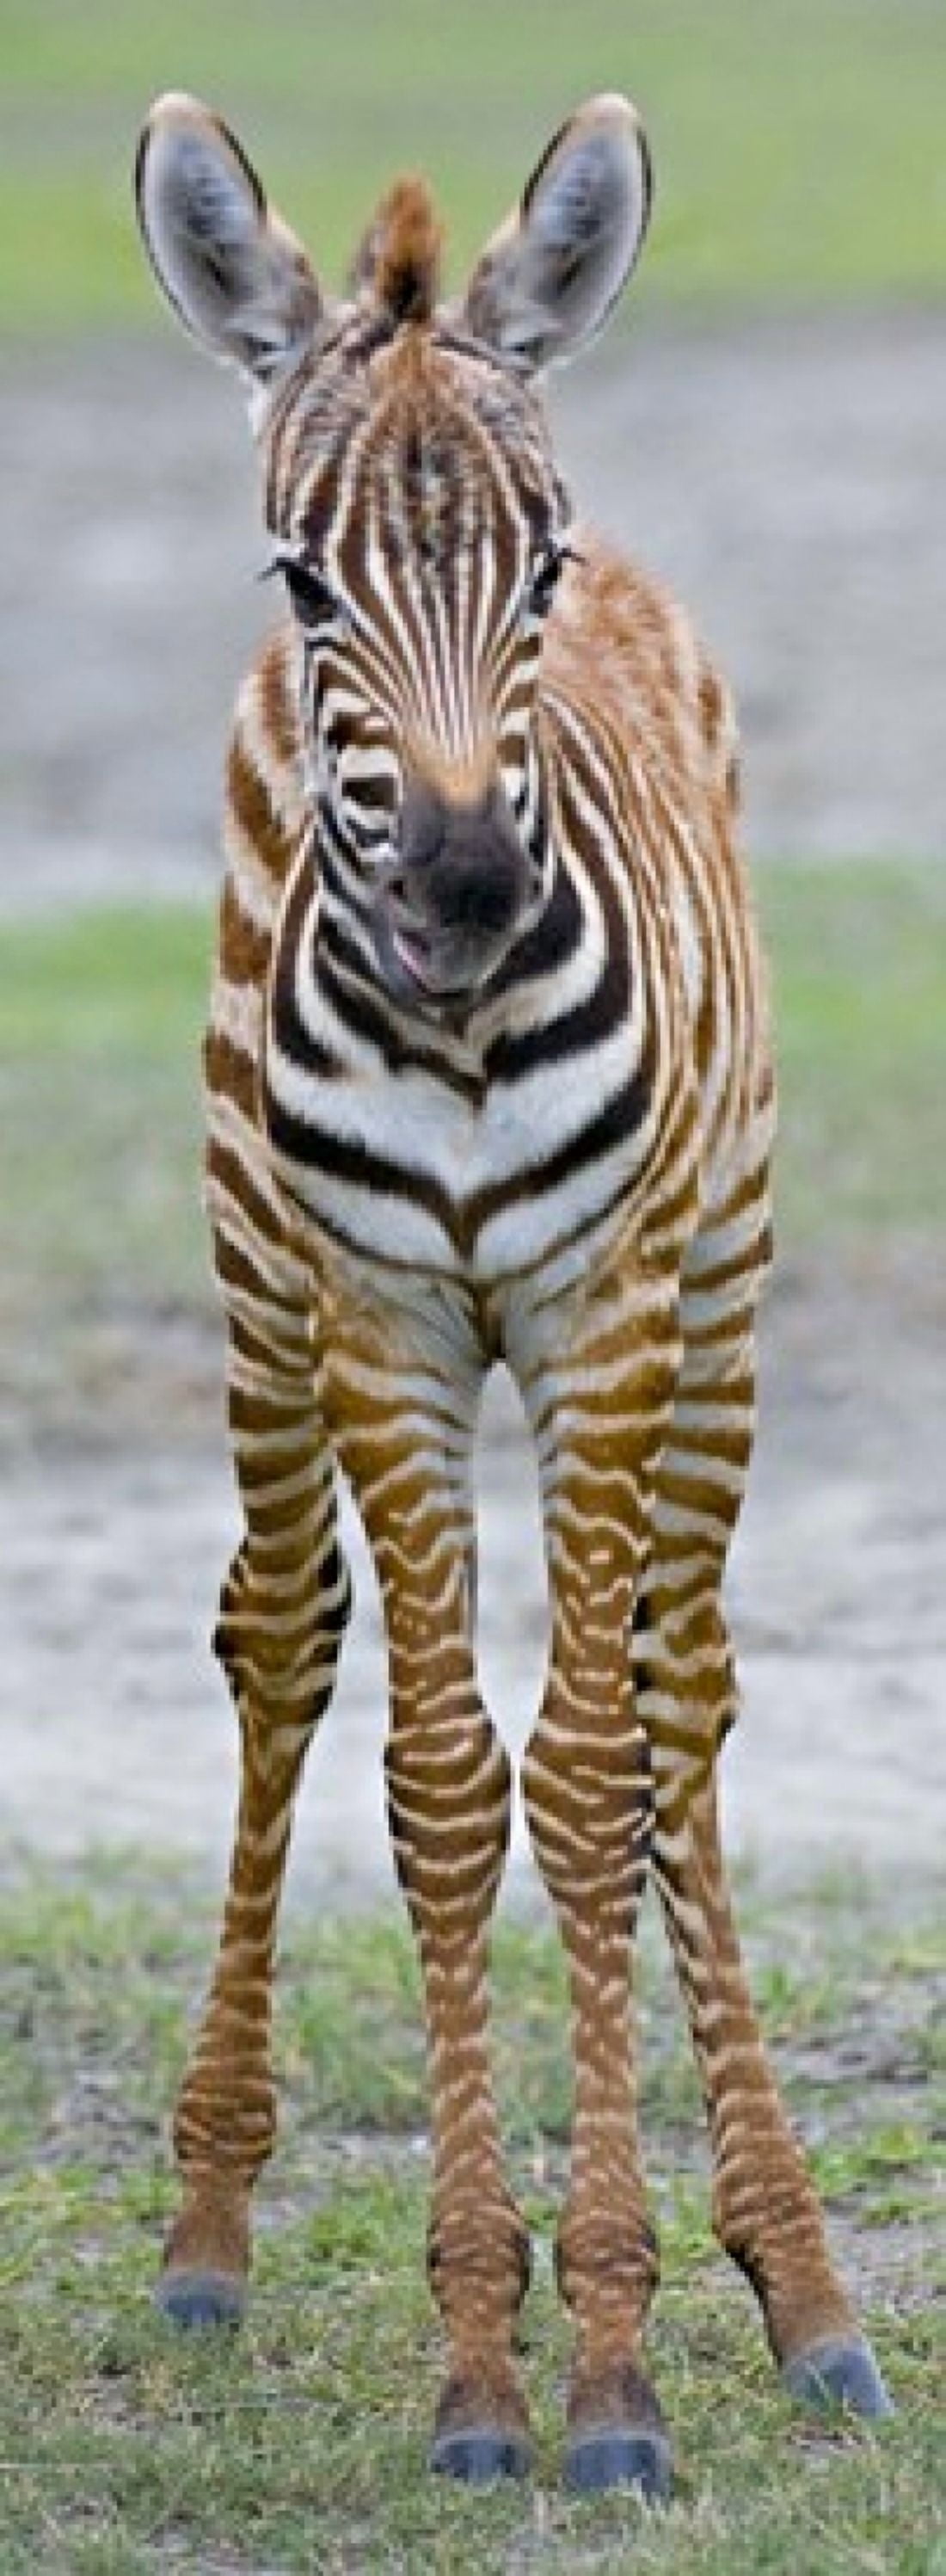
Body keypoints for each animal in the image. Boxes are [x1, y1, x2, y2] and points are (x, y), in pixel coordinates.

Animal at [134, 89, 892, 2493]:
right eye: (303, 583)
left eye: (534, 572)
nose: (467, 884)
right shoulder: (378, 1323)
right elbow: (450, 1786)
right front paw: (490, 2356)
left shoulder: (608, 1316)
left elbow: (589, 1775)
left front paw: (620, 2359)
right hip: (255, 1281)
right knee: (283, 1643)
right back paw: (208, 2228)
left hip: (721, 1291)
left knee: (683, 1699)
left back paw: (805, 2282)